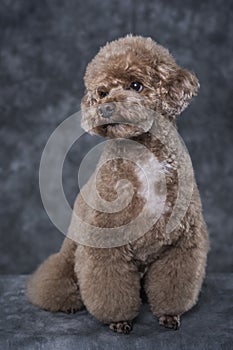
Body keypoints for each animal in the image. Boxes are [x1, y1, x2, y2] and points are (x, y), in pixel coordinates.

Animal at [27, 35, 209, 334]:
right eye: (101, 92)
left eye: (136, 85)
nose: (105, 107)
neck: (144, 158)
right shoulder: (105, 242)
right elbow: (110, 286)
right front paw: (119, 320)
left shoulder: (182, 243)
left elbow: (174, 284)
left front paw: (169, 315)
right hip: (70, 254)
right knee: (55, 279)